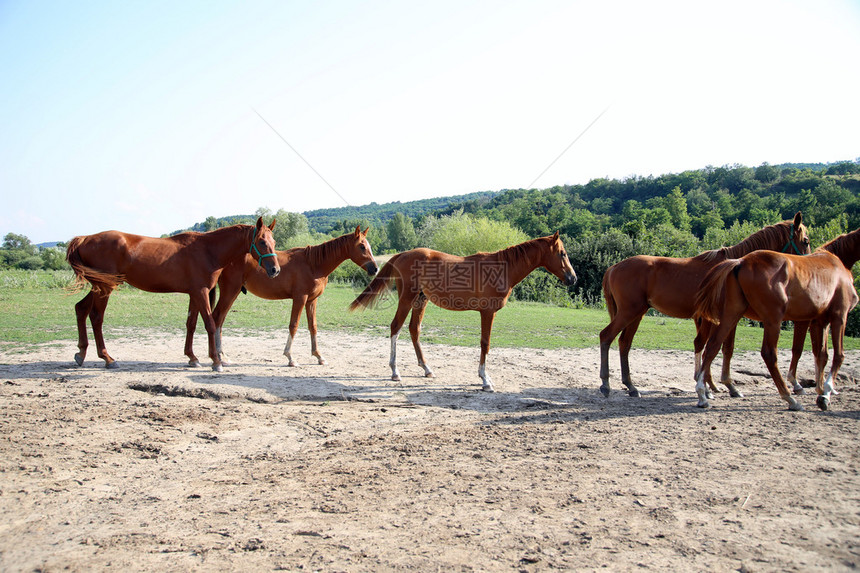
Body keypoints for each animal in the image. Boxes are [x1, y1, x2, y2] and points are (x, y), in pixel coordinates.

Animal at [66, 218, 278, 370]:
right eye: (261, 241)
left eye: (274, 241)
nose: (275, 270)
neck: (208, 250)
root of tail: (85, 238)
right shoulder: (201, 292)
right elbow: (210, 324)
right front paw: (216, 361)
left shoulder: (194, 294)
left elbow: (191, 324)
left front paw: (192, 357)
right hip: (105, 288)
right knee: (96, 317)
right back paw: (108, 358)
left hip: (98, 287)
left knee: (80, 308)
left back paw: (81, 354)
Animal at [185, 225, 376, 364]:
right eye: (362, 246)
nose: (374, 268)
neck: (313, 264)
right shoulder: (300, 298)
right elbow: (294, 325)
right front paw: (290, 357)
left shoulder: (312, 301)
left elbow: (313, 326)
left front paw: (319, 356)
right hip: (230, 291)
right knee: (217, 318)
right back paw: (218, 357)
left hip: (232, 293)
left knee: (220, 320)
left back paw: (222, 355)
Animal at [346, 231, 576, 388]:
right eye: (562, 253)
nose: (573, 278)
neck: (502, 268)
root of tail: (402, 254)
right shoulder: (487, 312)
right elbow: (485, 344)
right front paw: (485, 379)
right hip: (407, 299)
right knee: (396, 327)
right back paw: (395, 371)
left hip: (420, 300)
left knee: (414, 330)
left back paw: (427, 369)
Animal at [596, 213, 808, 398]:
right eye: (805, 240)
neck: (734, 268)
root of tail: (613, 268)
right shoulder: (724, 318)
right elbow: (720, 348)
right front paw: (721, 386)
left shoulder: (715, 319)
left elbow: (715, 348)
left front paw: (712, 385)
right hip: (629, 312)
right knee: (606, 336)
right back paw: (606, 384)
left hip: (636, 314)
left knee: (624, 343)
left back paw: (631, 386)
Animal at [696, 226, 856, 408]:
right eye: (805, 241)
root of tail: (740, 262)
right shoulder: (839, 316)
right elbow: (837, 355)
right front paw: (825, 392)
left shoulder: (819, 322)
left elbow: (821, 354)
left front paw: (821, 389)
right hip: (773, 320)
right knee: (769, 354)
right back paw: (789, 397)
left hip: (732, 314)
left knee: (712, 346)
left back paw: (702, 393)